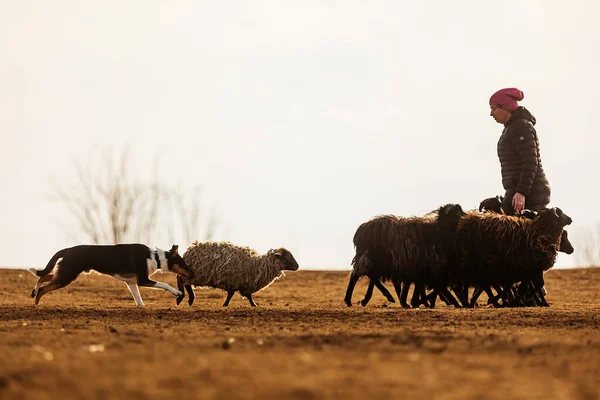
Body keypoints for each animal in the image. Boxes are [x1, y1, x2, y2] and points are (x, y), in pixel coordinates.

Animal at [28, 244, 192, 306]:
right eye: (184, 264)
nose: (193, 273)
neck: (156, 257)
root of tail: (67, 250)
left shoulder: (132, 283)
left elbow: (138, 299)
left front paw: (141, 307)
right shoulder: (142, 280)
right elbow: (164, 284)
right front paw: (177, 292)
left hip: (65, 274)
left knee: (43, 276)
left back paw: (33, 291)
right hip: (66, 276)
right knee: (43, 287)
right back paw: (36, 304)